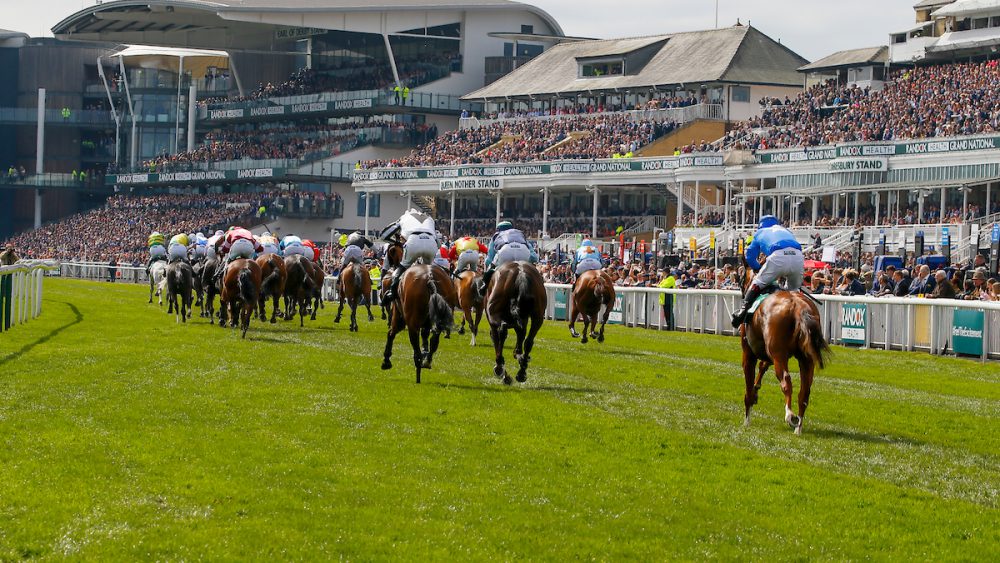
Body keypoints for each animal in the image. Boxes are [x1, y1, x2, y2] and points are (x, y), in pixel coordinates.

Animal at [736, 258, 828, 434]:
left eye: (740, 276)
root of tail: (798, 306)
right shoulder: (767, 353)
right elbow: (763, 366)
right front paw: (757, 391)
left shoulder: (748, 353)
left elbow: (748, 388)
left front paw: (746, 421)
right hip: (806, 359)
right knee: (805, 392)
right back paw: (798, 427)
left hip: (779, 354)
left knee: (786, 381)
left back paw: (790, 416)